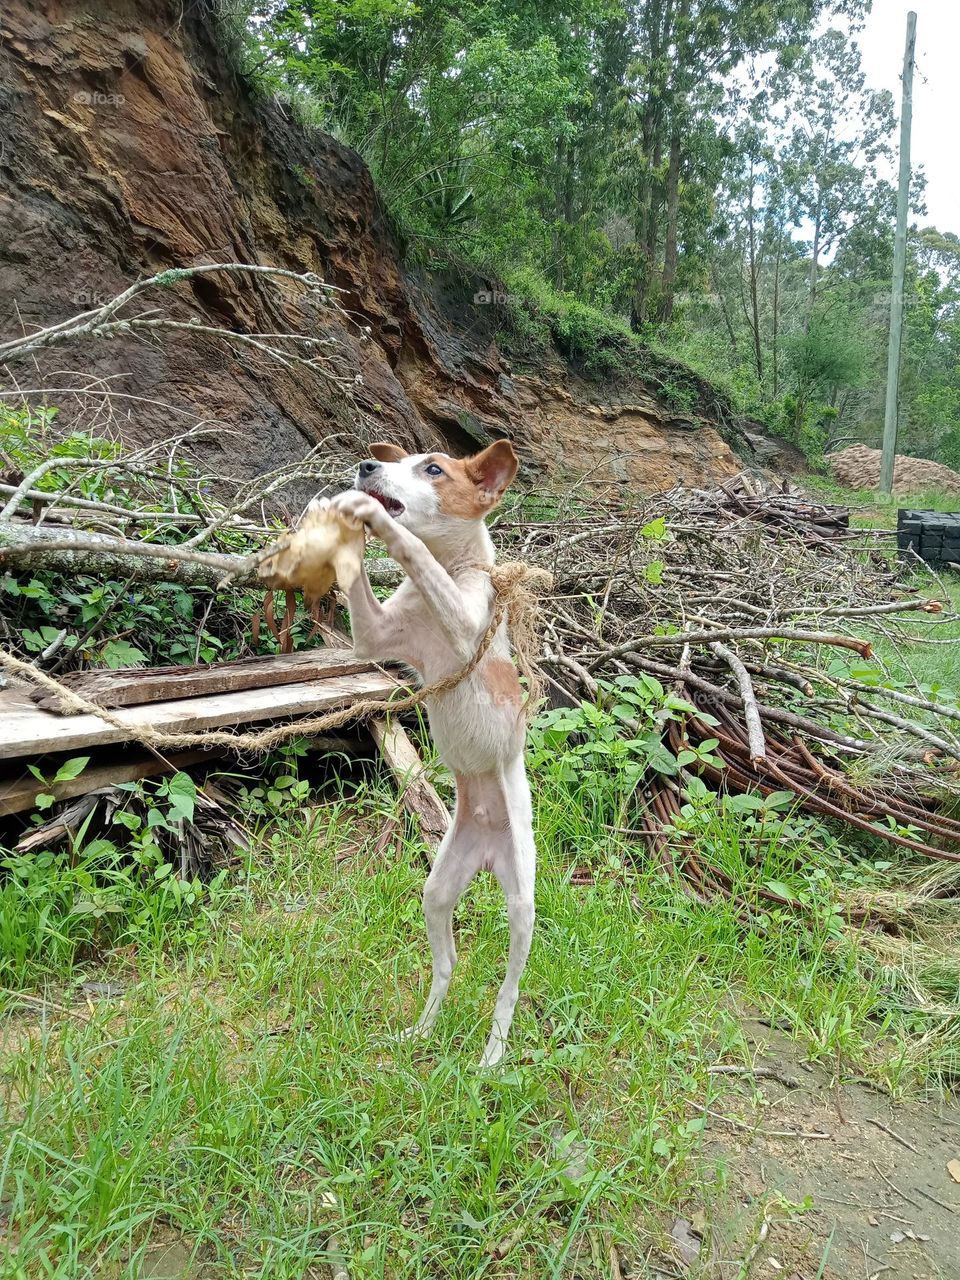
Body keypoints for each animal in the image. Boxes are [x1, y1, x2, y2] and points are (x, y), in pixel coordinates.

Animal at [330, 440, 537, 1070]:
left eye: (434, 469)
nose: (367, 466)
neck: (448, 571)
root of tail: (489, 850)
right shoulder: (374, 638)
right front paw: (347, 521)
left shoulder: (468, 623)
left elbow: (413, 546)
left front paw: (375, 520)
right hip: (437, 890)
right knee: (446, 965)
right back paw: (420, 1031)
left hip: (522, 905)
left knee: (509, 989)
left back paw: (492, 1056)